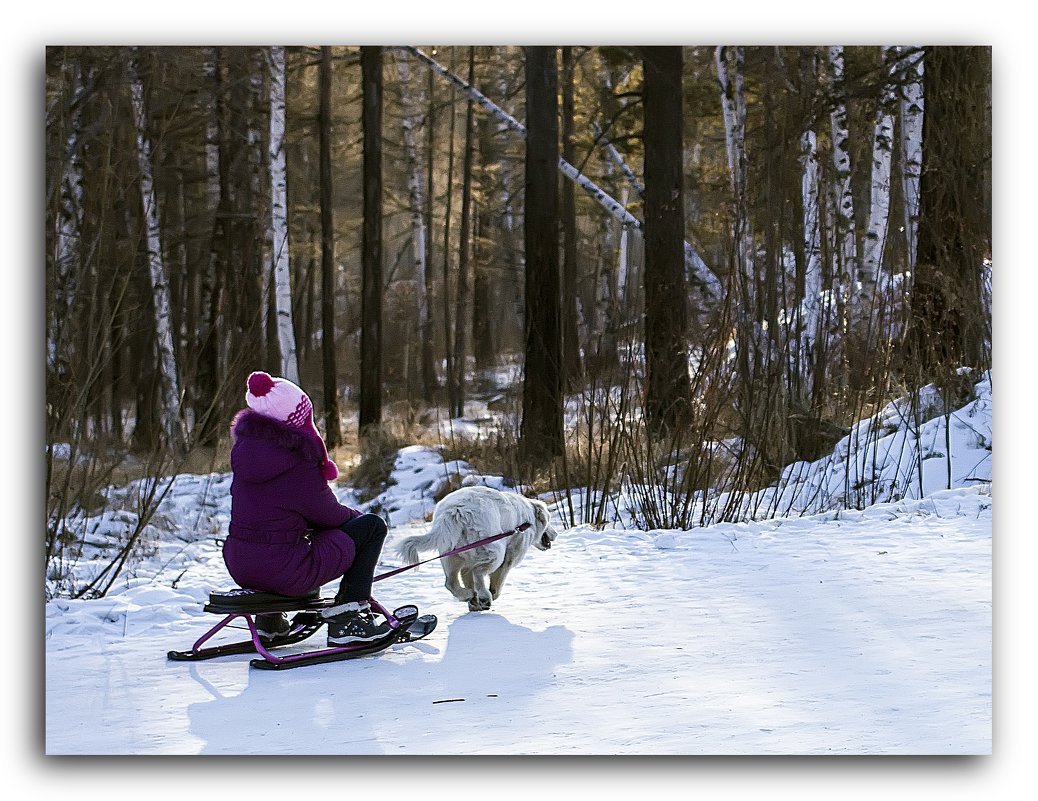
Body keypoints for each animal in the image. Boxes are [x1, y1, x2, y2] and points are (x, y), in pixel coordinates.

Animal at [394, 485, 560, 610]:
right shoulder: (511, 555)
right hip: (495, 551)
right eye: (549, 521)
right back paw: (484, 597)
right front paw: (491, 594)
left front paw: (473, 603)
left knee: (451, 582)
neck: (529, 520)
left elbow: (467, 576)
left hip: (450, 555)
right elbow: (499, 579)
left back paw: (469, 596)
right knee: (478, 572)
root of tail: (455, 510)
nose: (556, 534)